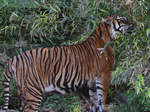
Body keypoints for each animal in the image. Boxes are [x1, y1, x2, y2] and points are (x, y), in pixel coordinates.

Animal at [2, 15, 134, 112]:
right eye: (123, 20)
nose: (134, 25)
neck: (107, 37)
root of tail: (14, 58)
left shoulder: (92, 82)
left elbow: (95, 102)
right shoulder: (104, 75)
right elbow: (102, 98)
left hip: (23, 92)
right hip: (33, 92)